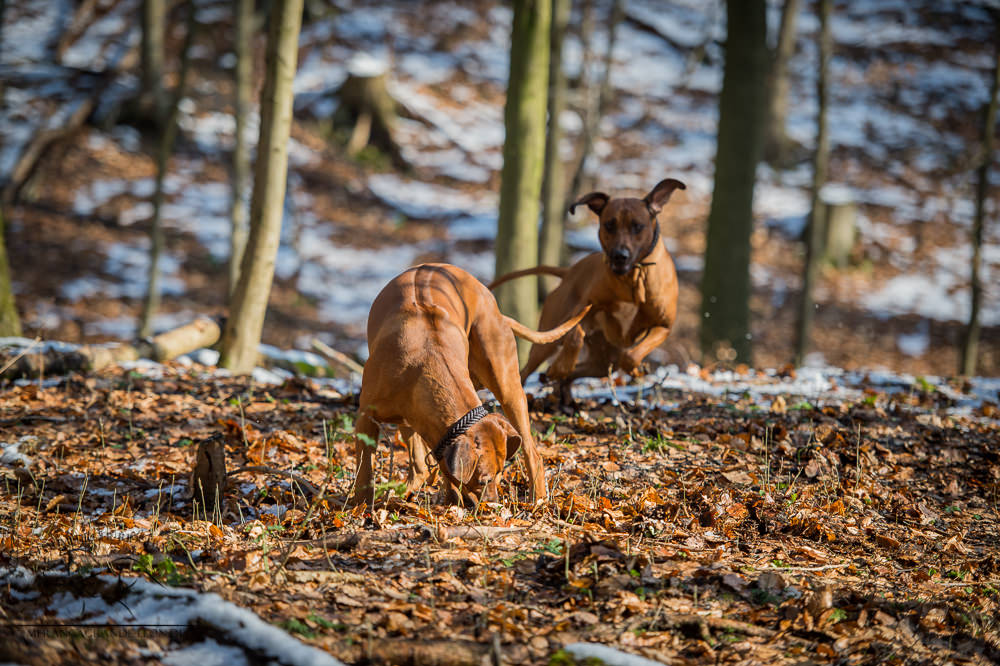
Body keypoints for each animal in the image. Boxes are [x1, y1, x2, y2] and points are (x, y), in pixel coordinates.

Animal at [350, 262, 588, 506]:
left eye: (501, 473)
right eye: (483, 480)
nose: (492, 506)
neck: (422, 361)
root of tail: (497, 310)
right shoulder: (367, 417)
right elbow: (365, 471)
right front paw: (361, 505)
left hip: (506, 382)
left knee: (533, 452)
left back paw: (537, 499)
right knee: (420, 463)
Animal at [488, 178, 684, 400]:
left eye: (638, 226)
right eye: (609, 224)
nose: (619, 256)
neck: (632, 278)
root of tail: (569, 271)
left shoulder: (663, 326)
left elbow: (631, 355)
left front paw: (637, 369)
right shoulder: (584, 307)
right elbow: (575, 337)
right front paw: (561, 365)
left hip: (604, 361)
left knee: (581, 370)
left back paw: (561, 390)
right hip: (547, 338)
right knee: (527, 370)